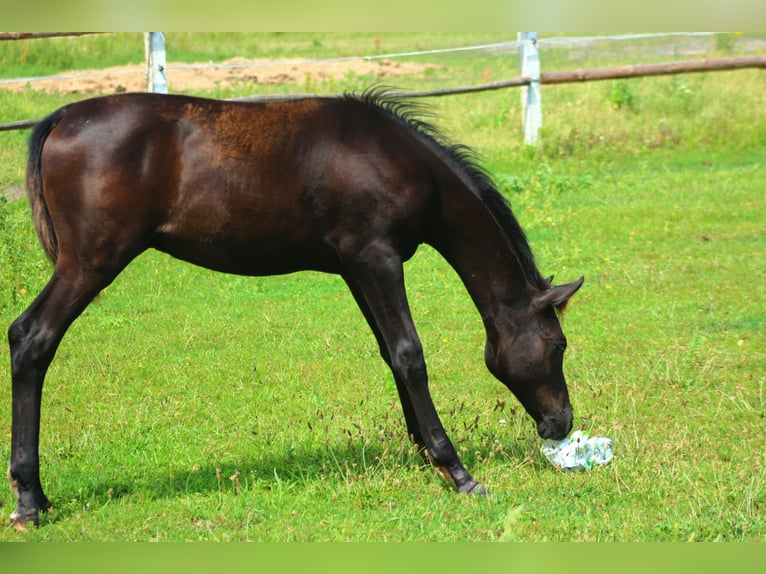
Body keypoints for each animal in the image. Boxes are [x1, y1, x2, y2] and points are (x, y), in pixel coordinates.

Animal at [6, 90, 584, 532]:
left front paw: (424, 454)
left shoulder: (356, 267)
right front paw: (456, 471)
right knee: (30, 337)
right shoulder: (376, 258)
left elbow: (390, 355)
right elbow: (410, 353)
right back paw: (28, 500)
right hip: (90, 263)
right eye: (558, 345)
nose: (561, 423)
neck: (394, 158)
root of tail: (63, 118)